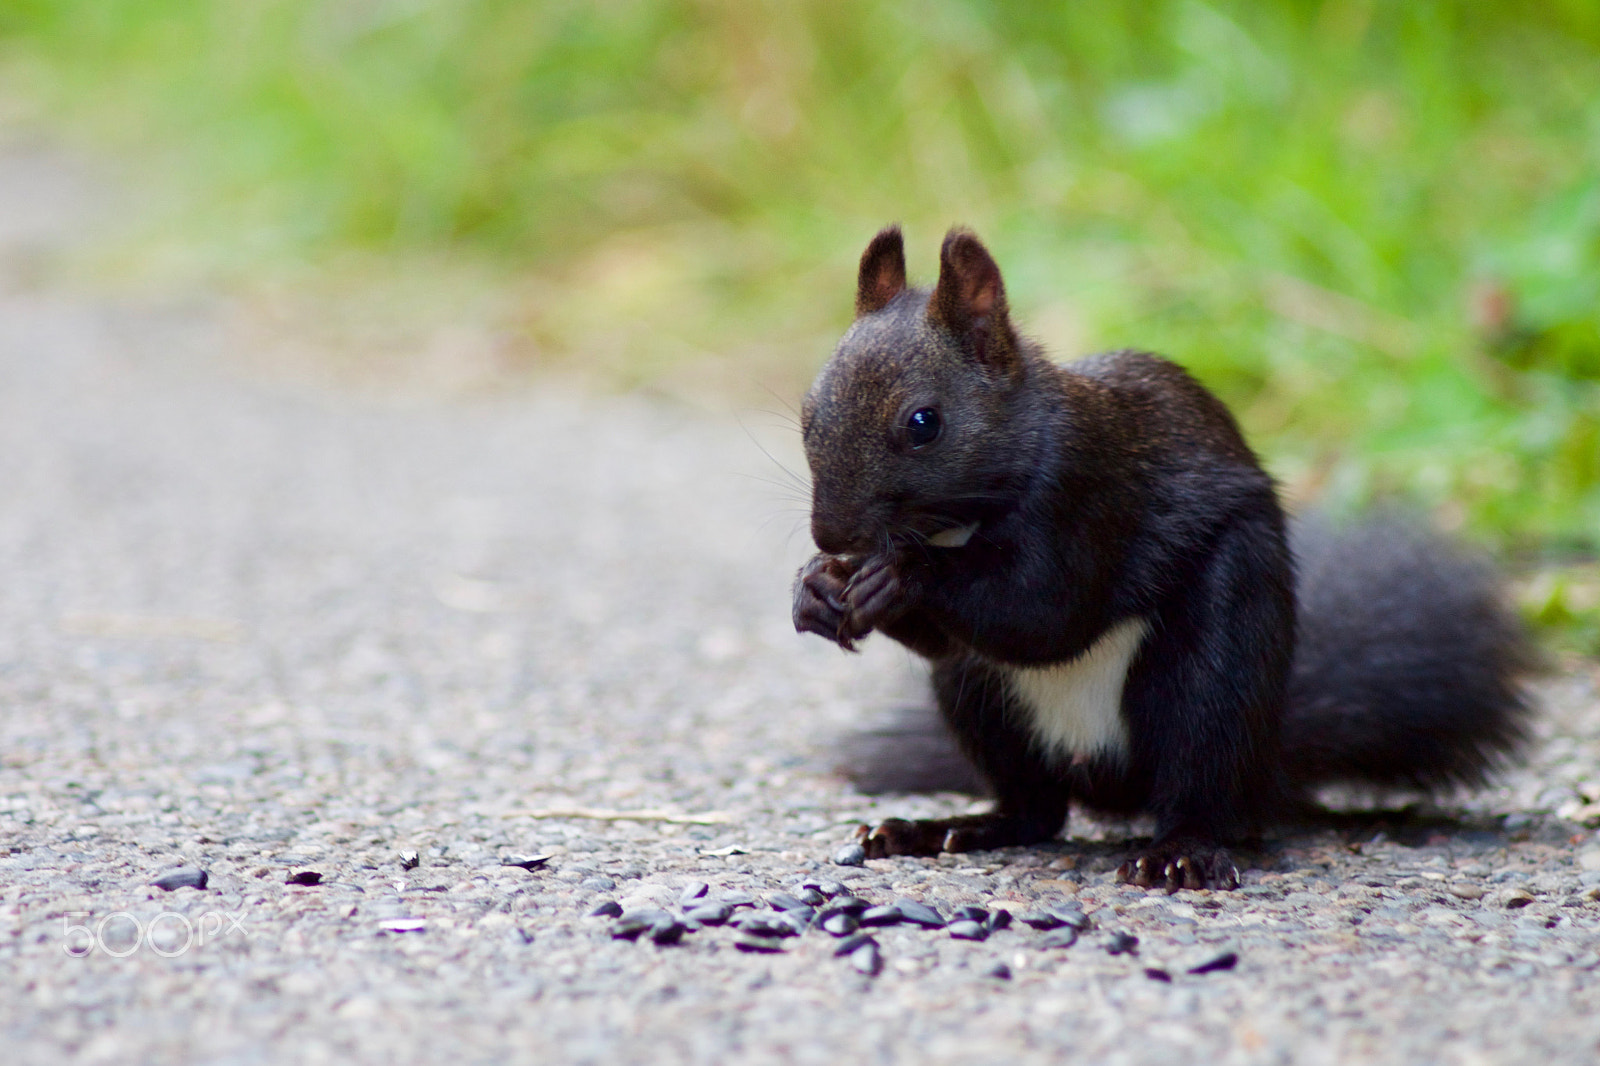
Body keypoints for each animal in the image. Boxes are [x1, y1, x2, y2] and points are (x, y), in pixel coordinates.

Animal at [792, 225, 1534, 890]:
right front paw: (817, 588)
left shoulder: (1088, 494)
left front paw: (901, 575)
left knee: (1198, 786)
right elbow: (955, 639)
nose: (832, 535)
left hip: (1214, 672)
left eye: (924, 423)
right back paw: (947, 828)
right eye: (807, 411)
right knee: (1035, 811)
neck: (956, 523)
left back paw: (1181, 852)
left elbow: (1041, 614)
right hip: (979, 703)